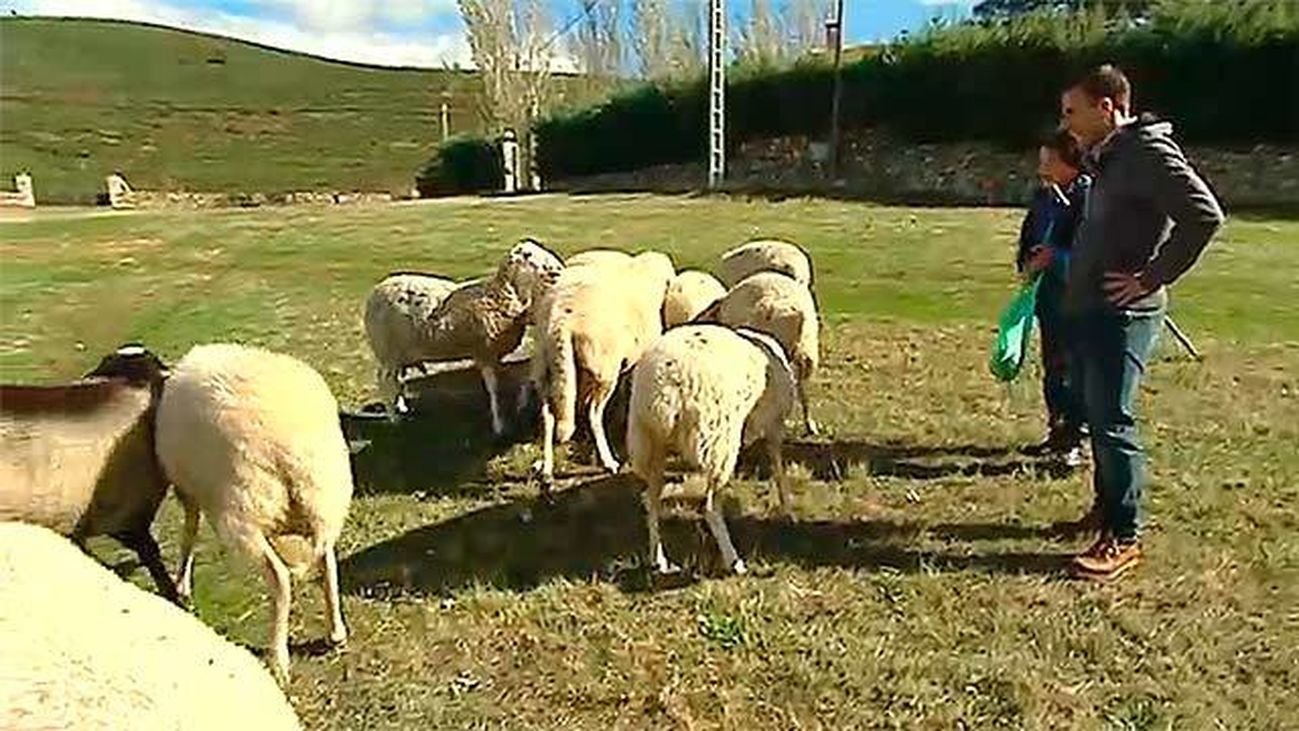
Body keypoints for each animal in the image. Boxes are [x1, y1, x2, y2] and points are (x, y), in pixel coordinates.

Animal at [154, 343, 353, 683]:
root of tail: (293, 450)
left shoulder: (188, 491)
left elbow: (188, 532)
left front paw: (182, 585)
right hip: (324, 503)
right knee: (327, 561)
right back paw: (336, 632)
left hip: (243, 511)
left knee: (280, 578)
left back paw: (278, 659)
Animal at [362, 238, 564, 436]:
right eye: (528, 255)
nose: (556, 270)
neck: (498, 295)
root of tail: (375, 292)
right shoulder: (483, 352)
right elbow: (494, 389)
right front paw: (499, 426)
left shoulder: (493, 354)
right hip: (387, 350)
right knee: (383, 381)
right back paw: (393, 418)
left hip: (399, 353)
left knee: (396, 379)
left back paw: (401, 406)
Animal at [531, 250, 676, 490]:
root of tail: (561, 322)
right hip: (602, 370)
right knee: (593, 414)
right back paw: (608, 461)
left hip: (545, 370)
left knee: (547, 416)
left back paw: (547, 470)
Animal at [627, 325, 797, 576]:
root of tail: (664, 386)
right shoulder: (774, 425)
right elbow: (778, 465)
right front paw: (788, 509)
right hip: (717, 440)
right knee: (709, 508)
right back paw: (734, 561)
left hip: (650, 442)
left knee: (651, 500)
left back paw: (659, 559)